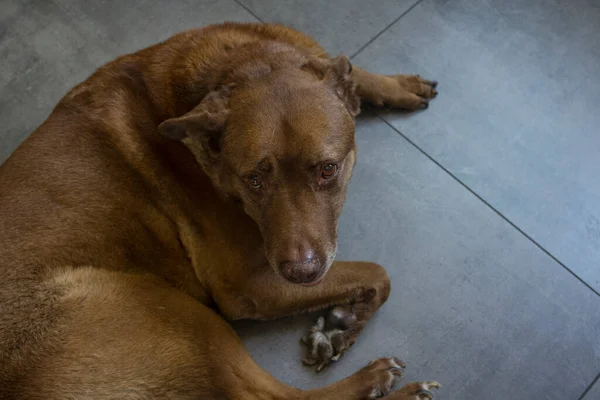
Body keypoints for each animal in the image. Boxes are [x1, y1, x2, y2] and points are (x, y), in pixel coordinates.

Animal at [0, 22, 440, 400]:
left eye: (328, 169)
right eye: (254, 179)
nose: (301, 273)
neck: (247, 65)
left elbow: (343, 66)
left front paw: (395, 84)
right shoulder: (249, 286)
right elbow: (379, 274)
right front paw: (343, 326)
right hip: (179, 317)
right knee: (277, 396)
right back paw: (381, 384)